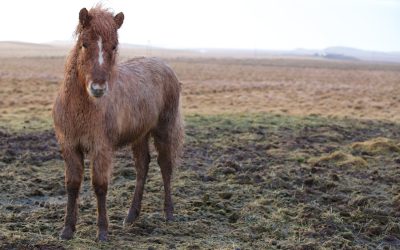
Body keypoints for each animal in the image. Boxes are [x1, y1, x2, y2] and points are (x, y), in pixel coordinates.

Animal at [52, 5, 184, 241]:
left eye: (114, 46)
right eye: (84, 43)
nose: (97, 89)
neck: (80, 108)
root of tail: (164, 65)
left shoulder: (101, 148)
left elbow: (100, 185)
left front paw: (102, 231)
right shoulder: (69, 146)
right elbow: (72, 185)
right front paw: (67, 230)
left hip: (164, 130)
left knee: (165, 166)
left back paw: (168, 213)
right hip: (140, 135)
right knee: (142, 167)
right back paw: (131, 216)